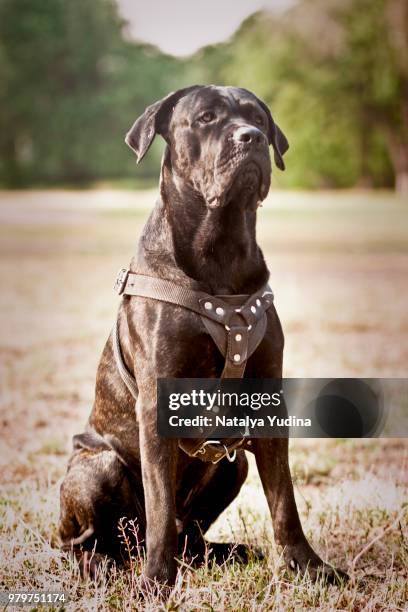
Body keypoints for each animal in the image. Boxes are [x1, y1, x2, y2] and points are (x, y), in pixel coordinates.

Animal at [59, 87, 348, 588]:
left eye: (257, 118)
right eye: (206, 118)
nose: (251, 137)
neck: (221, 247)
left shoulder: (268, 395)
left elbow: (284, 500)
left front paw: (309, 567)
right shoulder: (156, 401)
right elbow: (159, 508)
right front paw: (156, 583)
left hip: (232, 467)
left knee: (189, 535)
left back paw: (227, 553)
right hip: (96, 468)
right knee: (93, 540)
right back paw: (105, 565)